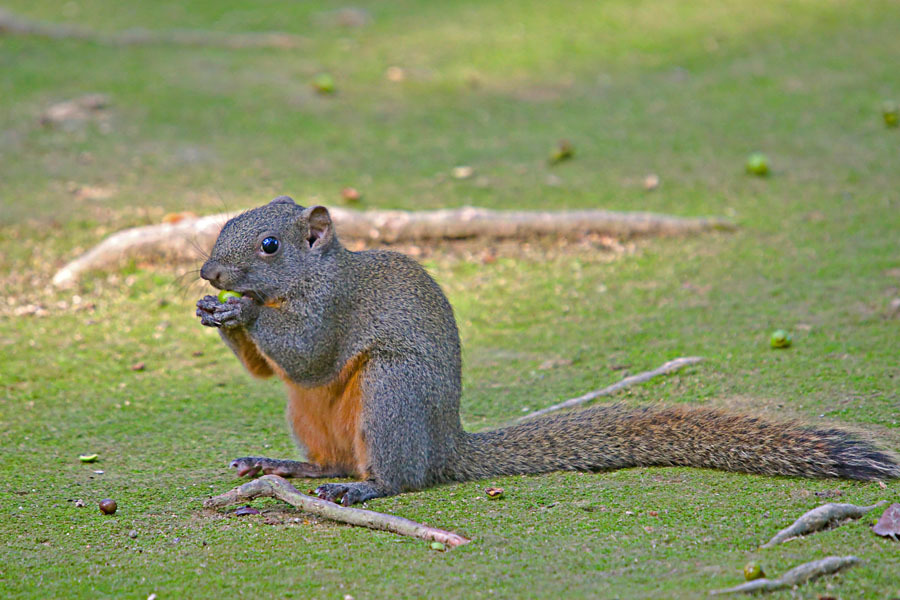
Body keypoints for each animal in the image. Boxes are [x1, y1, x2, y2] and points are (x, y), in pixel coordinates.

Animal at [197, 197, 900, 506]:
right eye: (224, 223)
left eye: (269, 245)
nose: (208, 273)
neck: (310, 277)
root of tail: (447, 443)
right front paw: (212, 312)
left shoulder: (336, 307)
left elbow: (310, 353)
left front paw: (241, 310)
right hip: (310, 415)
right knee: (333, 458)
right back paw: (284, 466)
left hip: (392, 393)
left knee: (400, 477)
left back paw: (366, 489)